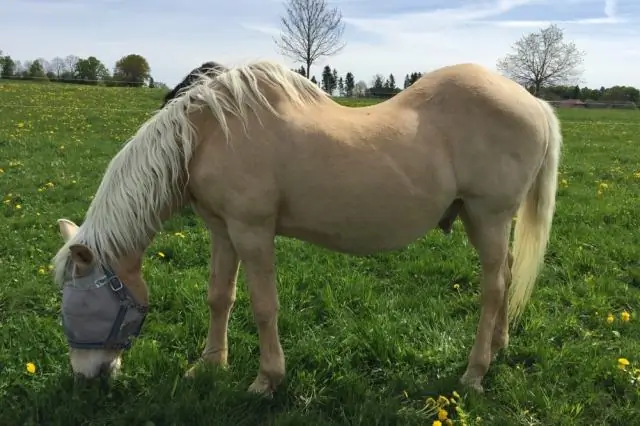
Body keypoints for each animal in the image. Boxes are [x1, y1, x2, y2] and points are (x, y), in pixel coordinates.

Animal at [52, 58, 564, 394]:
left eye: (76, 304)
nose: (87, 375)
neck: (206, 134)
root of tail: (534, 102)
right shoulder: (223, 231)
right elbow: (220, 297)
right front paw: (210, 366)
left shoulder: (253, 231)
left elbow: (263, 306)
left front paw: (266, 380)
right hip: (486, 222)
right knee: (507, 275)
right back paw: (498, 347)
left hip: (488, 216)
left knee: (493, 288)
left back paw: (475, 372)